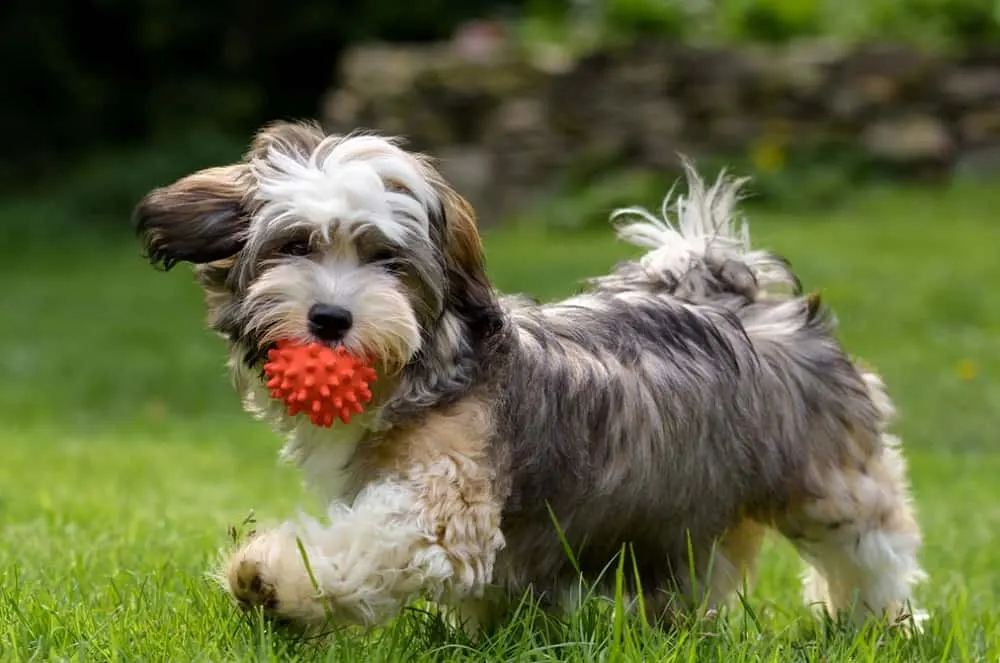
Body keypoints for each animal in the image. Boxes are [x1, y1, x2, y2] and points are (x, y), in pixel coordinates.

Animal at [133, 119, 928, 632]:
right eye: (295, 245)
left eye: (387, 260)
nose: (330, 318)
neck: (423, 371)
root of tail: (741, 298)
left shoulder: (441, 505)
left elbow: (374, 543)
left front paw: (272, 578)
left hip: (828, 478)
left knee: (871, 546)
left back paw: (879, 622)